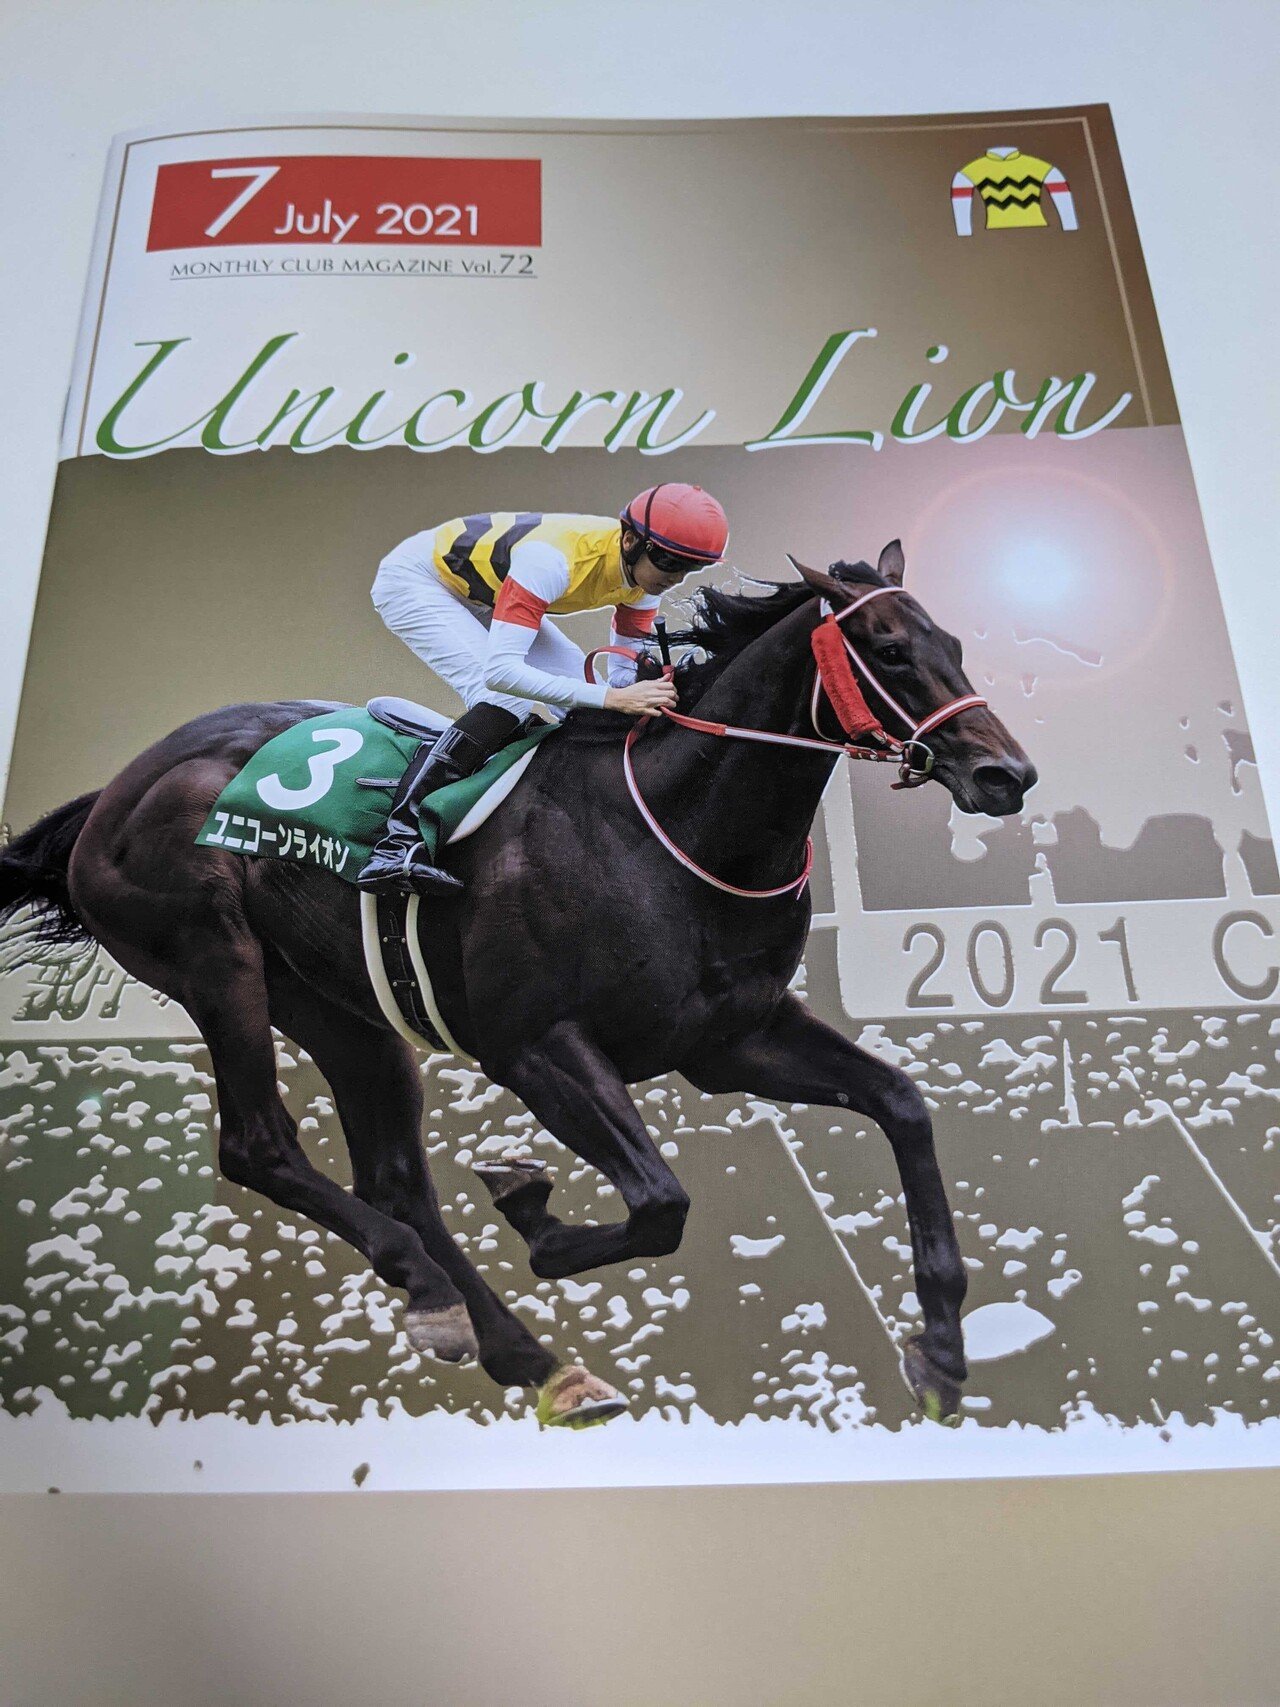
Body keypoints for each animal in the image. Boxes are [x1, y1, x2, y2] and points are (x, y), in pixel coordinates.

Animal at [0, 544, 1035, 1427]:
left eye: (951, 644)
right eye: (891, 651)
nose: (1008, 773)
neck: (675, 824)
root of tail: (111, 795)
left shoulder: (730, 1039)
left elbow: (901, 1104)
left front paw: (942, 1348)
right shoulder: (536, 1046)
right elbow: (660, 1202)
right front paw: (531, 1208)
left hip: (343, 1009)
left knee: (394, 1176)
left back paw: (524, 1353)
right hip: (216, 960)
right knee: (259, 1146)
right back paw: (428, 1287)